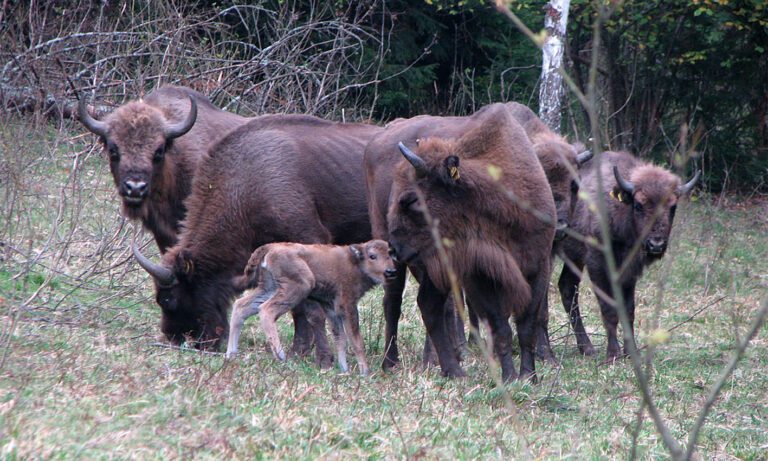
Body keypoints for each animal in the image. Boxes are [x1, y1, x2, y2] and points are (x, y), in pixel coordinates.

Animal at [135, 114, 384, 360]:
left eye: (168, 299)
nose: (174, 339)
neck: (247, 183)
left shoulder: (309, 240)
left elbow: (311, 309)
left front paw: (322, 358)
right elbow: (298, 309)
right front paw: (299, 350)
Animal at [225, 239, 396, 376]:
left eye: (390, 254)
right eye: (372, 256)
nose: (390, 271)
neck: (355, 262)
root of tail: (270, 247)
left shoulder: (332, 309)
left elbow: (340, 338)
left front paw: (344, 370)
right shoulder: (348, 306)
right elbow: (355, 340)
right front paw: (365, 372)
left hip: (269, 287)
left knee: (241, 306)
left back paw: (230, 354)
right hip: (299, 287)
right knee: (266, 310)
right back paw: (281, 356)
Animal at [384, 105, 560, 380]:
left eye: (411, 200)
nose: (394, 247)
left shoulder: (538, 266)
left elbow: (526, 326)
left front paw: (529, 376)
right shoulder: (481, 276)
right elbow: (501, 328)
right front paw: (510, 377)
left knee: (429, 305)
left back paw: (454, 370)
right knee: (429, 306)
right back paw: (456, 371)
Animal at [556, 151, 700, 360]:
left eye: (673, 208)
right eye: (639, 205)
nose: (656, 244)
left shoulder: (629, 271)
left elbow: (628, 310)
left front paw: (631, 352)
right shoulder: (597, 265)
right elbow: (609, 308)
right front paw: (613, 353)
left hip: (572, 258)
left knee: (566, 288)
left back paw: (587, 348)